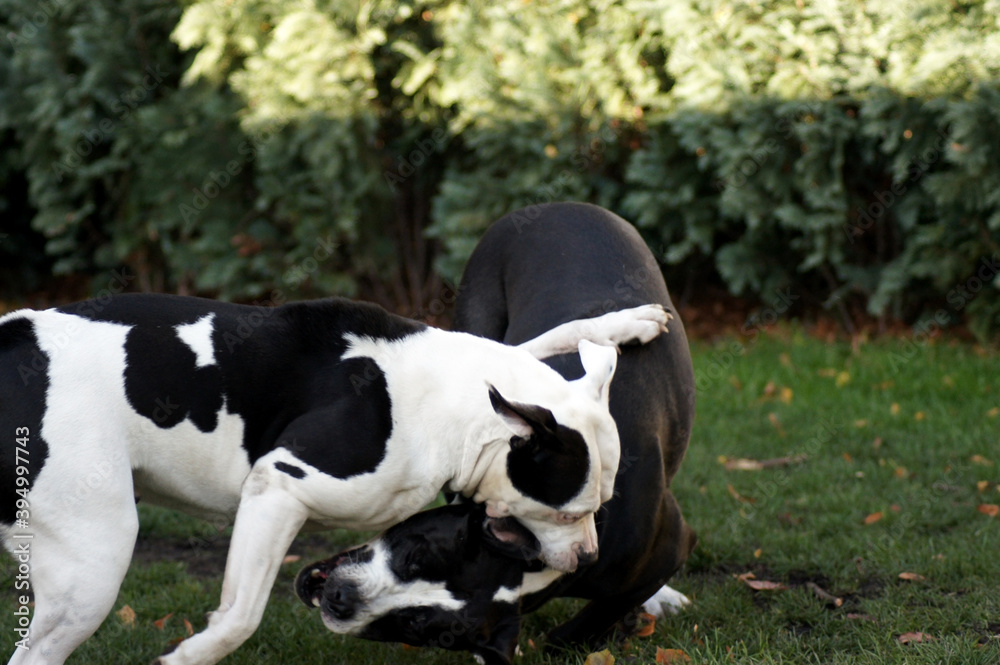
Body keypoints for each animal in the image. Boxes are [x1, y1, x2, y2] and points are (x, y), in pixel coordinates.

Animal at [1, 294, 672, 664]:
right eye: (566, 512)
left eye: (602, 506)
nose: (587, 558)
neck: (453, 410)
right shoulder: (280, 484)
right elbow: (241, 616)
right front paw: (191, 654)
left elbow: (545, 341)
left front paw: (623, 324)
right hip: (94, 568)